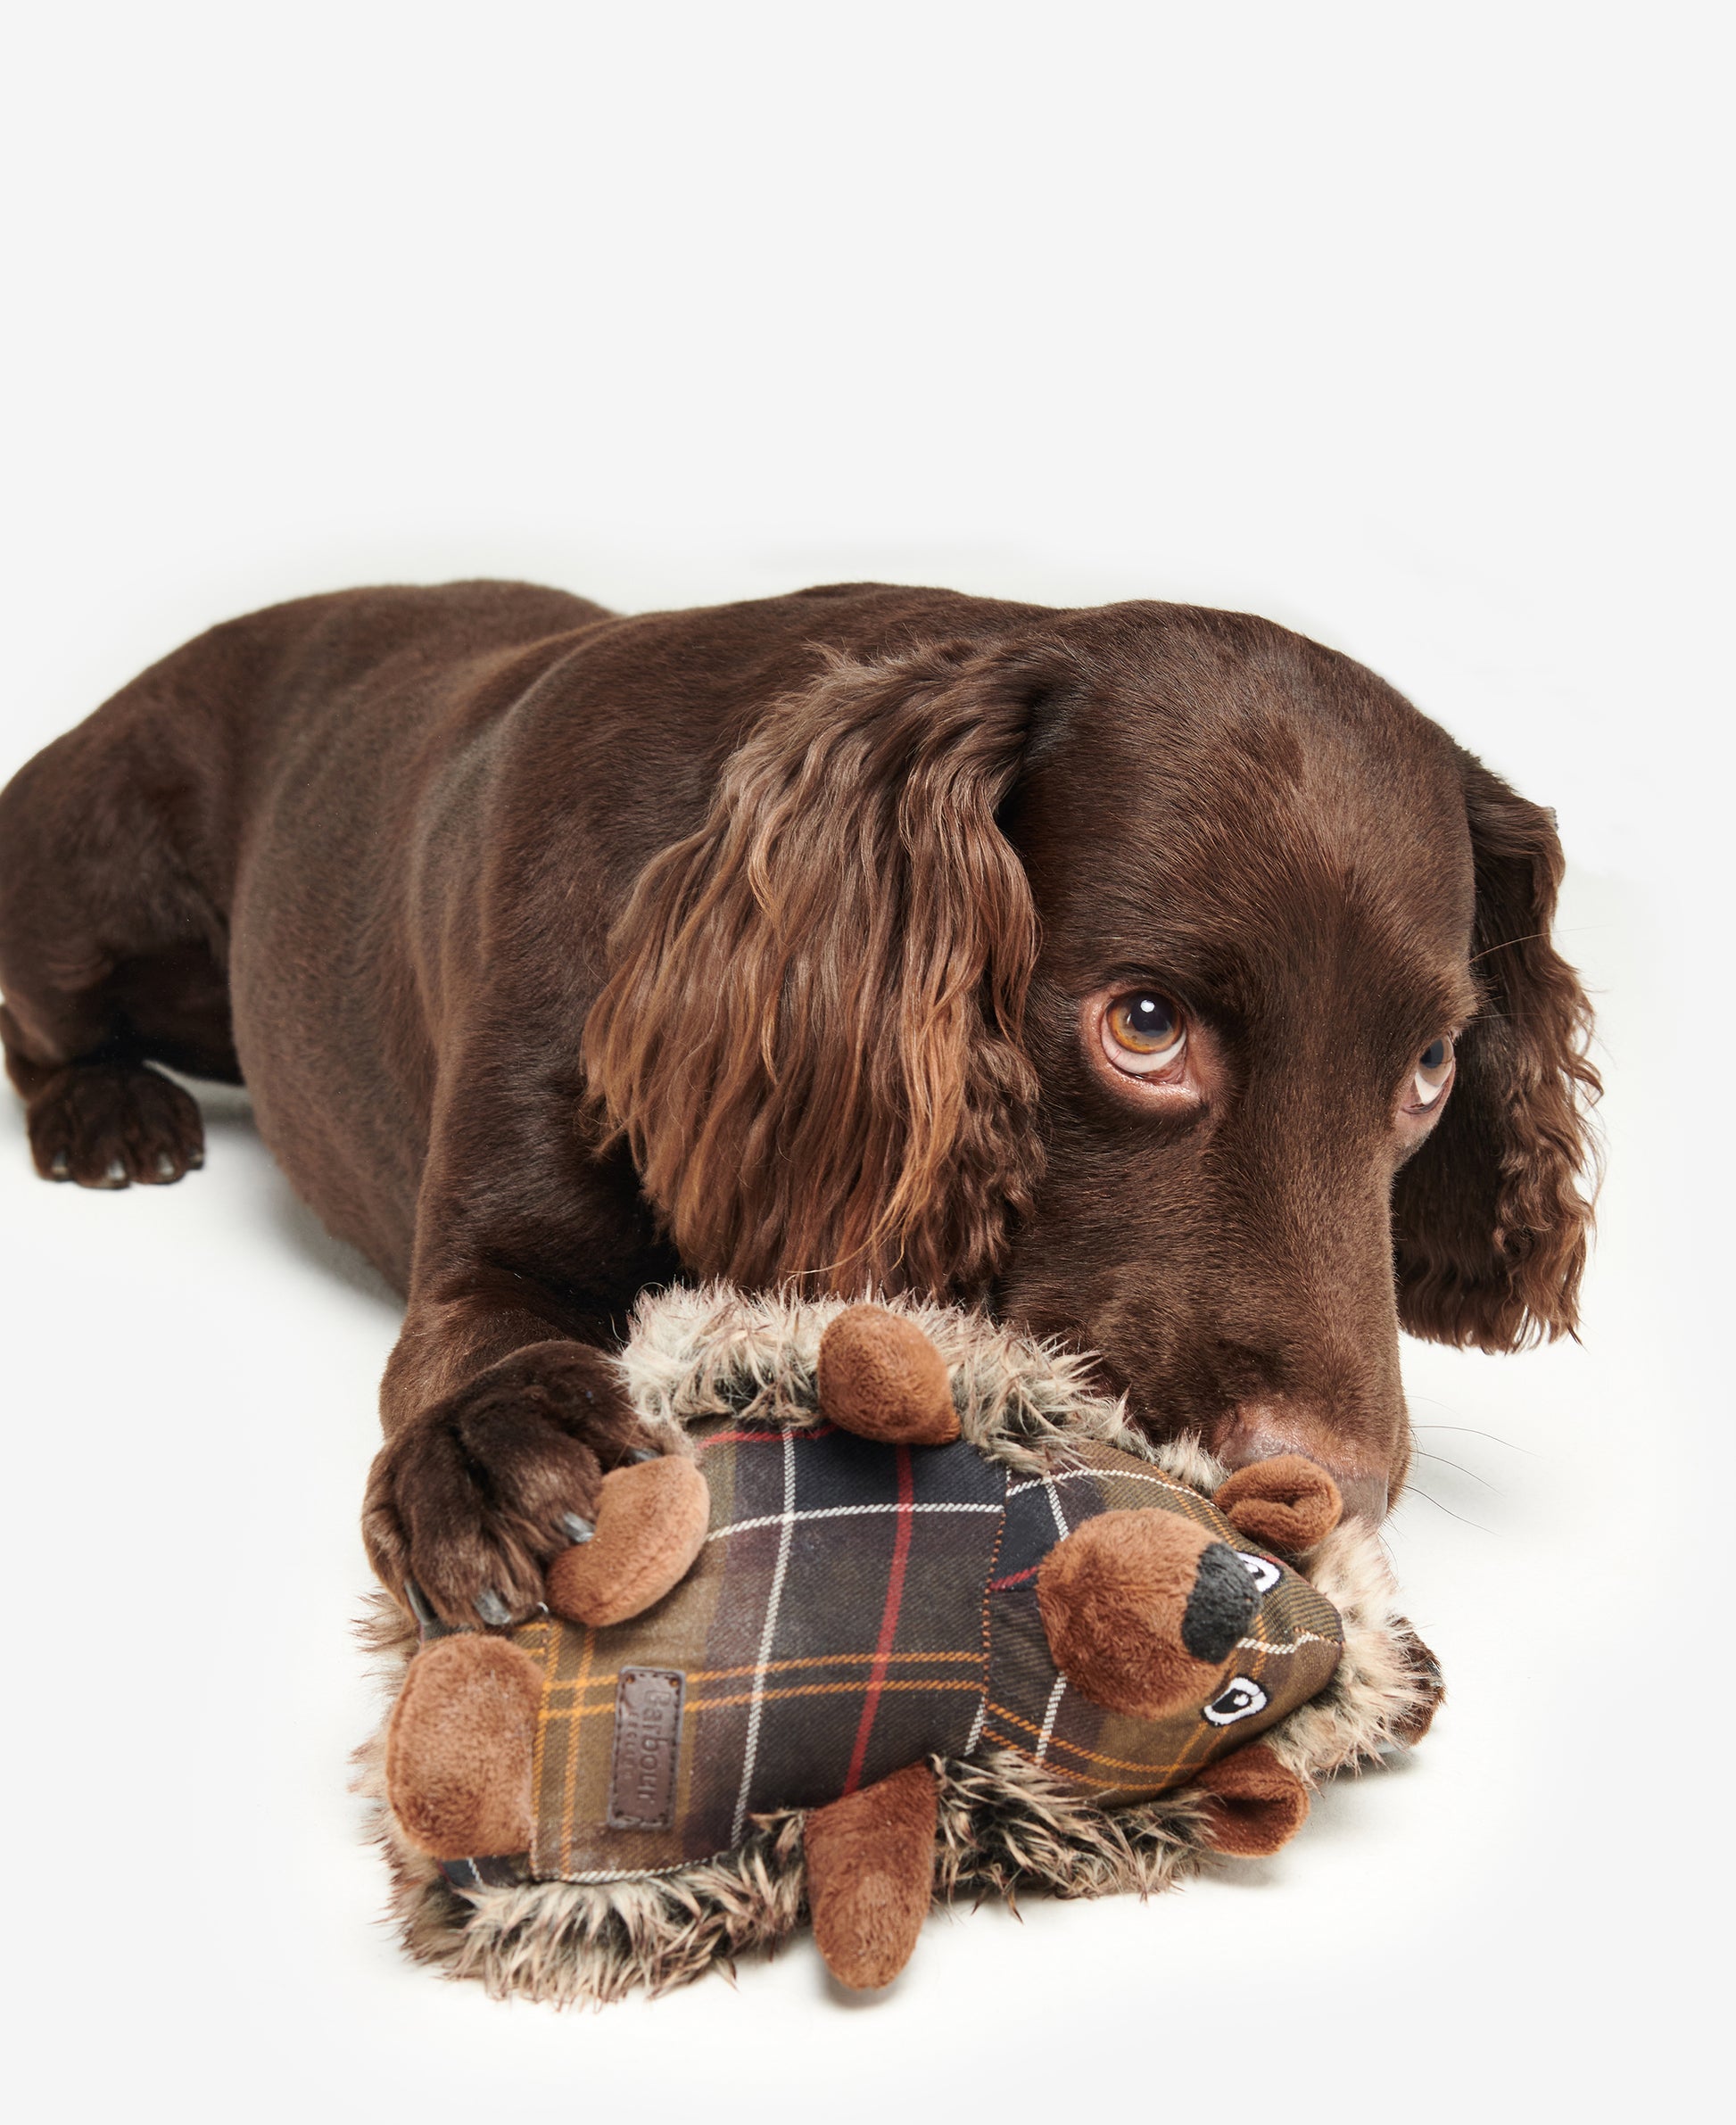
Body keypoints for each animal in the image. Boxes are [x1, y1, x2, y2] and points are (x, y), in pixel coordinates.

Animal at [0, 582, 1598, 1623]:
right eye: (1143, 1024)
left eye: (1428, 1069)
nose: (1331, 1488)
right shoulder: (484, 1245)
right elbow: (476, 1335)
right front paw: (488, 1451)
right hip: (91, 889)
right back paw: (109, 1113)